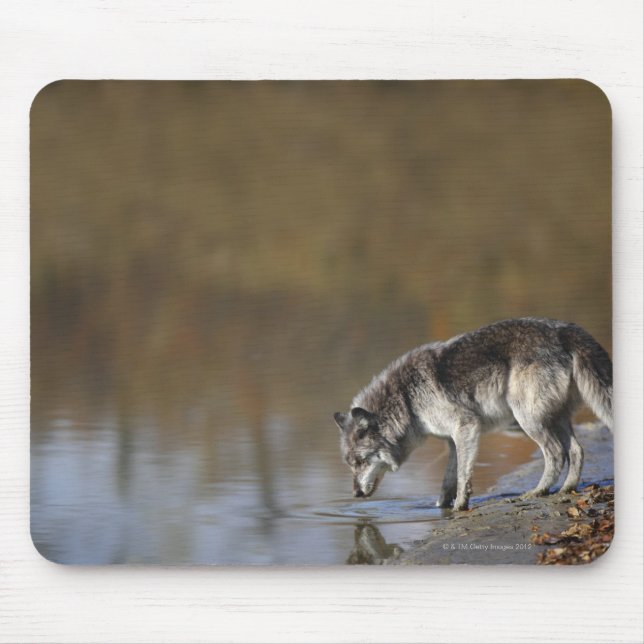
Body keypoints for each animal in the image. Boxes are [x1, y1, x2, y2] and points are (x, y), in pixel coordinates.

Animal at [333, 317, 612, 511]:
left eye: (360, 462)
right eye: (350, 465)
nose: (355, 494)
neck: (406, 398)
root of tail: (563, 330)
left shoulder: (466, 427)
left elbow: (462, 476)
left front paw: (459, 507)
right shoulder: (452, 440)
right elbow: (448, 481)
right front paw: (440, 507)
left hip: (529, 419)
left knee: (556, 453)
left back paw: (536, 492)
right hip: (556, 419)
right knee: (576, 450)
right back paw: (567, 489)